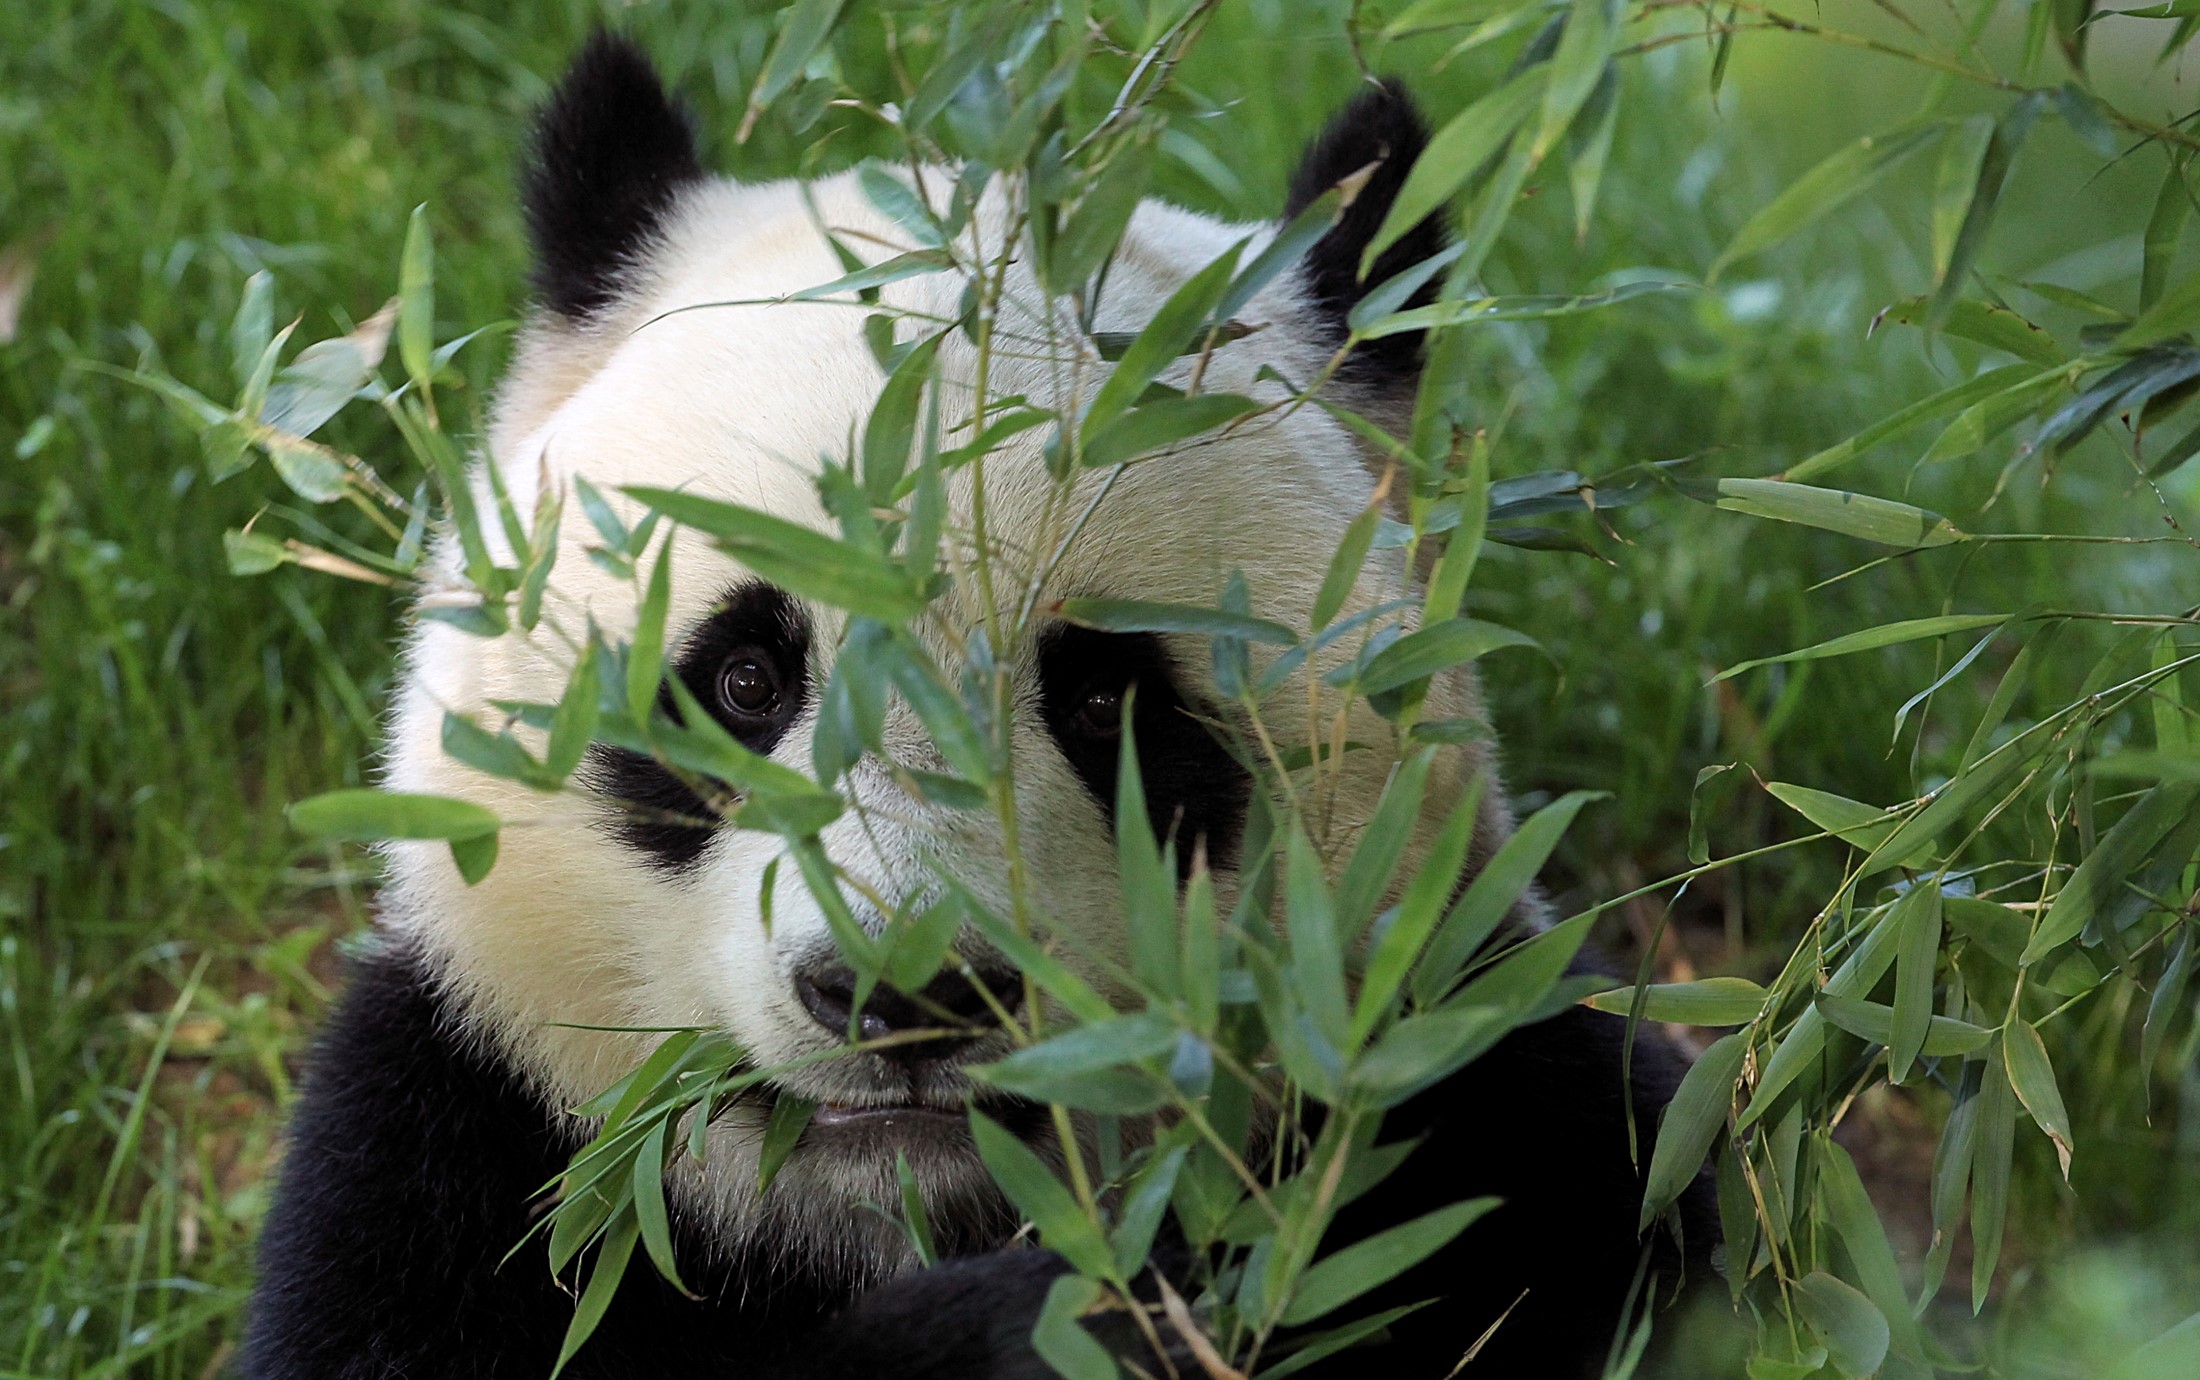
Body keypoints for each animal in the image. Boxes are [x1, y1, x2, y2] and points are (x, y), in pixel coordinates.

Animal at [243, 33, 1718, 1380]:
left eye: (1107, 698)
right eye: (744, 680)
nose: (904, 987)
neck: (897, 1211)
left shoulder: (1474, 1074)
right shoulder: (467, 1131)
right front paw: (1048, 1330)